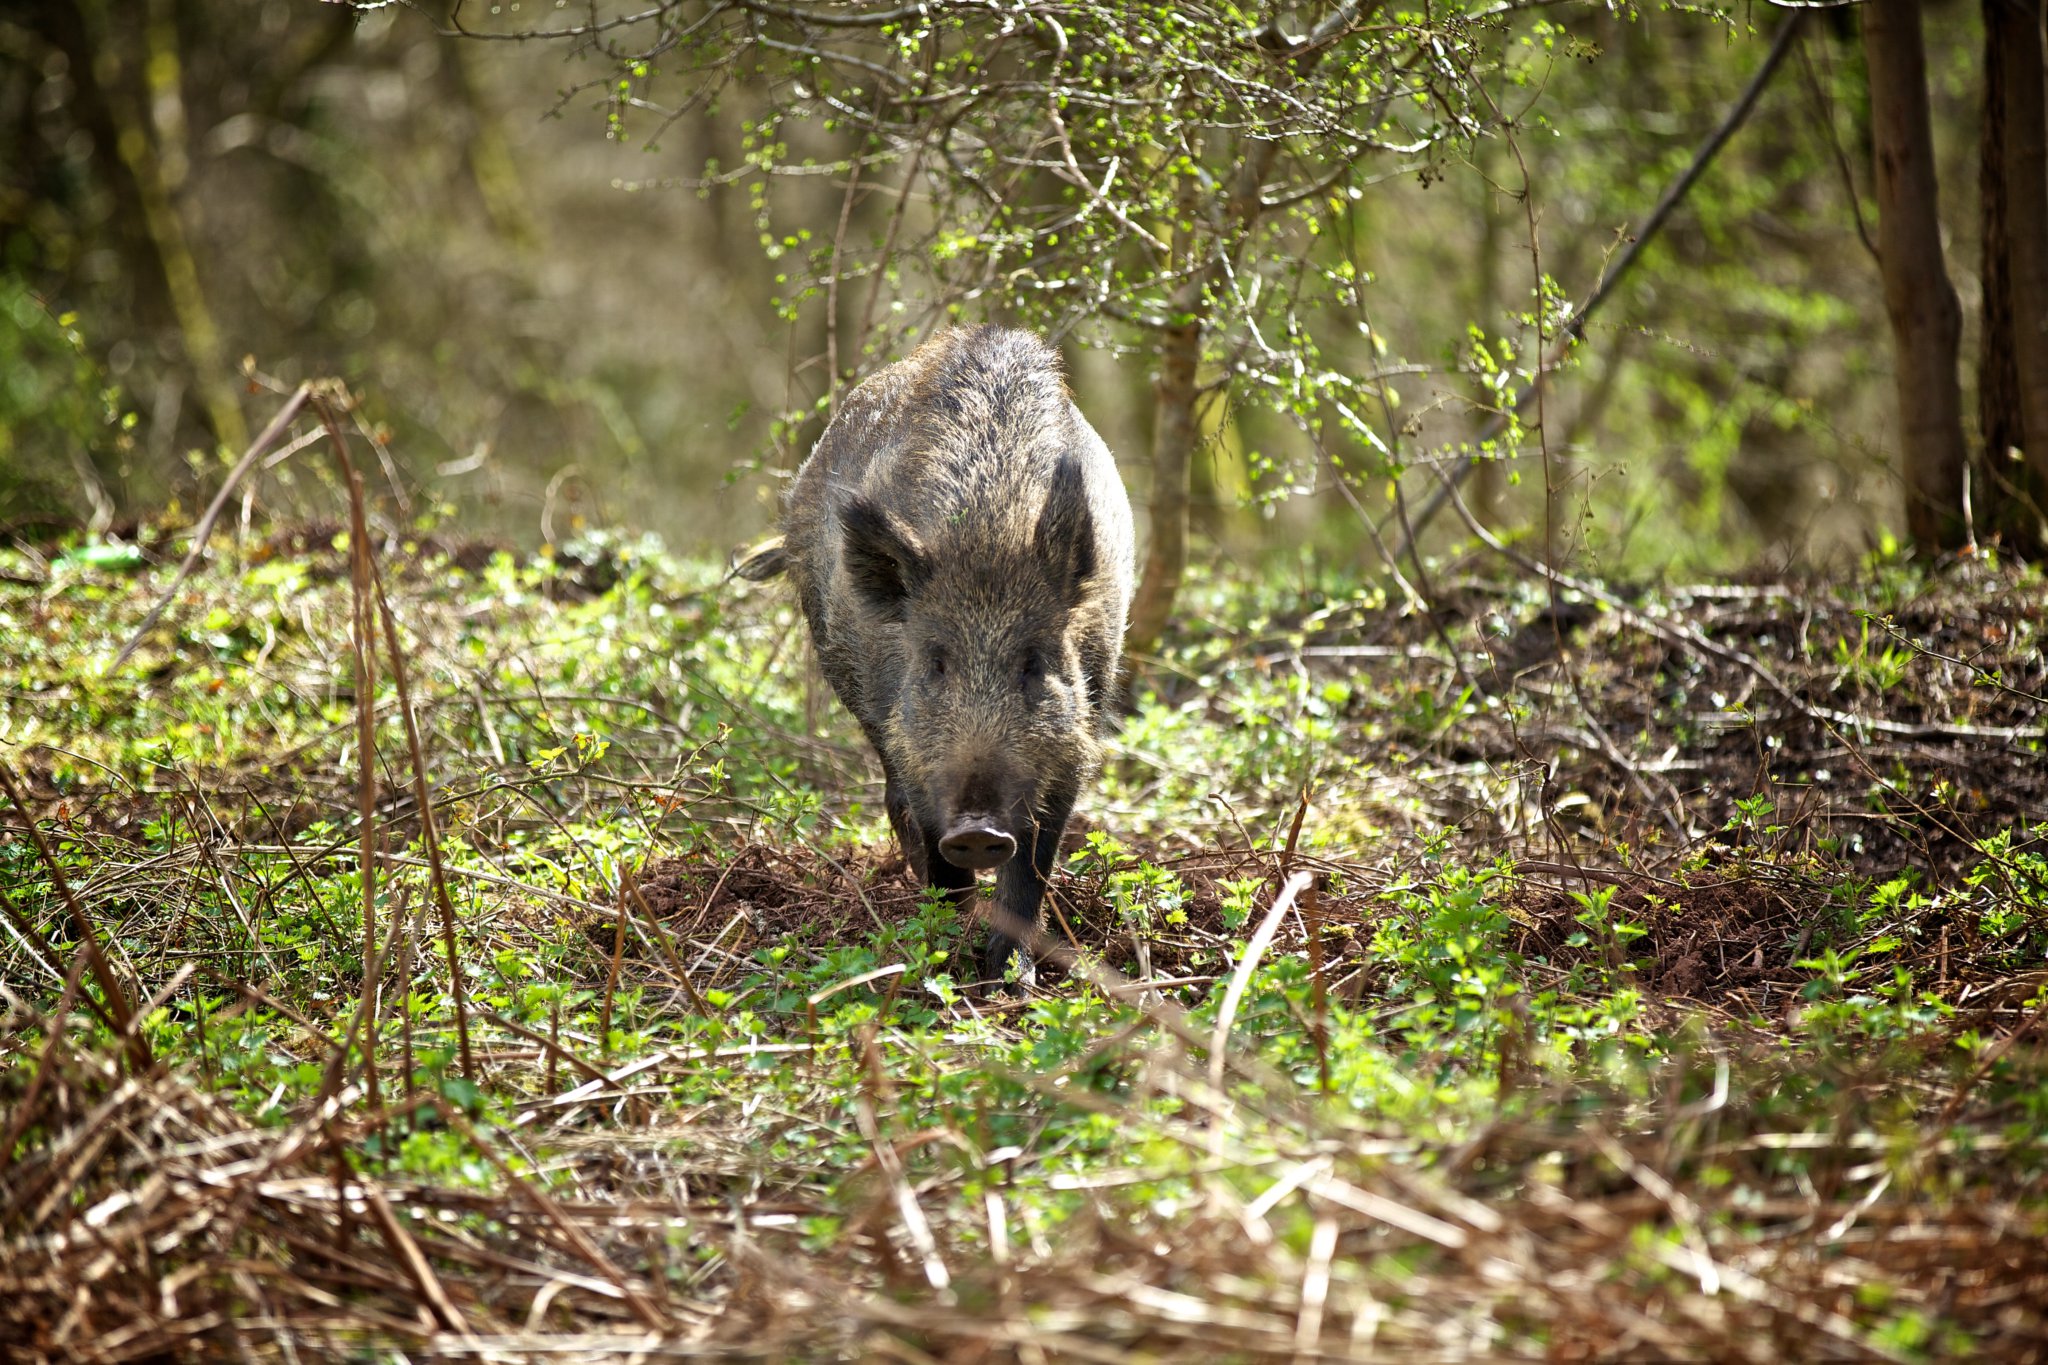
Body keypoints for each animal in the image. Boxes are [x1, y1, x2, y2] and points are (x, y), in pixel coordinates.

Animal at [736, 326, 1135, 988]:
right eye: (935, 663)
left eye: (1034, 663)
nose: (976, 829)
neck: (988, 532)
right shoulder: (916, 753)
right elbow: (933, 844)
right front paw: (946, 955)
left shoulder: (1072, 746)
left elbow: (1033, 861)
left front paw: (1012, 977)